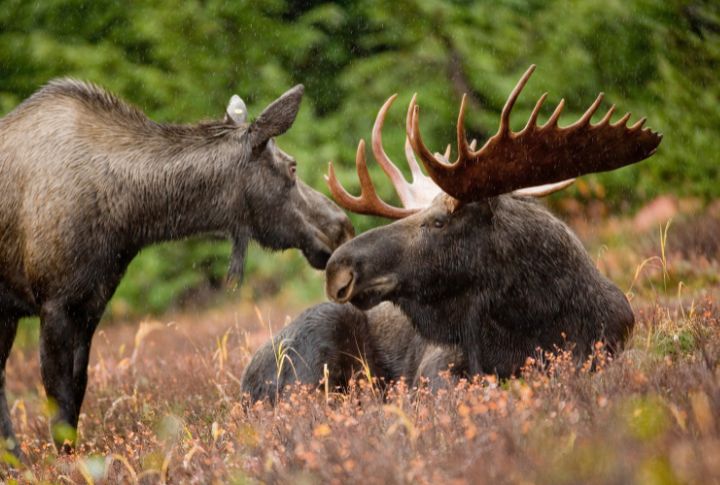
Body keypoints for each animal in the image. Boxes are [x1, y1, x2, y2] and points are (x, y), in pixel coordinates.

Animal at [0, 80, 354, 456]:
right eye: (292, 167)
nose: (342, 226)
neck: (128, 217)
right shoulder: (54, 304)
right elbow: (60, 403)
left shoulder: (90, 304)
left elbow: (78, 391)